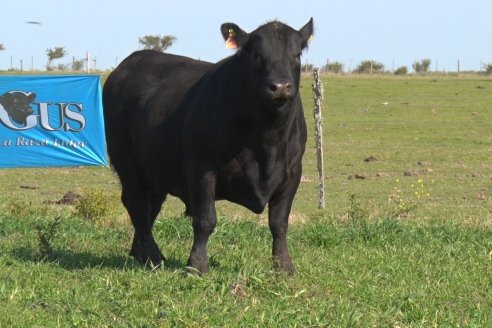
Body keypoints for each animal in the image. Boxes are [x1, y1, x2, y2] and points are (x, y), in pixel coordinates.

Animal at [102, 18, 314, 274]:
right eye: (255, 54)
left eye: (297, 53)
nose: (280, 86)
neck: (267, 140)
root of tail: (131, 61)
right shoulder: (201, 167)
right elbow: (205, 219)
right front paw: (197, 265)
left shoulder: (293, 172)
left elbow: (279, 222)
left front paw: (284, 266)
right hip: (126, 160)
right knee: (138, 204)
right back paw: (151, 255)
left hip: (155, 168)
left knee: (151, 205)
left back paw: (141, 252)